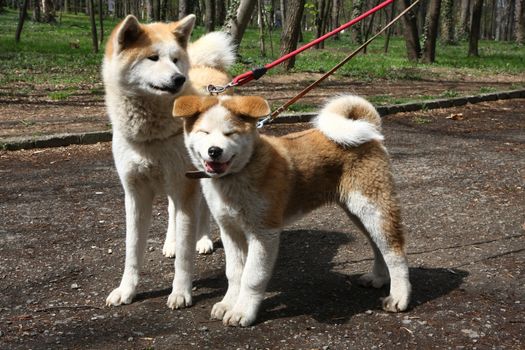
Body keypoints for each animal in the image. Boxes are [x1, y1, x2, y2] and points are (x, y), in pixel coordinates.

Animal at [102, 14, 233, 308]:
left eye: (174, 59)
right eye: (153, 58)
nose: (179, 78)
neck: (151, 135)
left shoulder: (185, 186)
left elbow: (185, 255)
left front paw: (181, 292)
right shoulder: (135, 193)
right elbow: (132, 250)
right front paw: (126, 290)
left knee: (203, 212)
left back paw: (203, 239)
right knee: (174, 210)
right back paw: (170, 243)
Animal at [174, 95, 412, 326]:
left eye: (230, 133)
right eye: (204, 132)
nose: (214, 151)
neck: (240, 172)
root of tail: (370, 133)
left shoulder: (264, 233)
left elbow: (252, 277)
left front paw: (242, 312)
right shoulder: (230, 231)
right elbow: (234, 274)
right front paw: (228, 304)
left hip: (373, 208)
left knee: (395, 251)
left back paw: (399, 297)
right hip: (359, 213)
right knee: (378, 246)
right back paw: (378, 278)